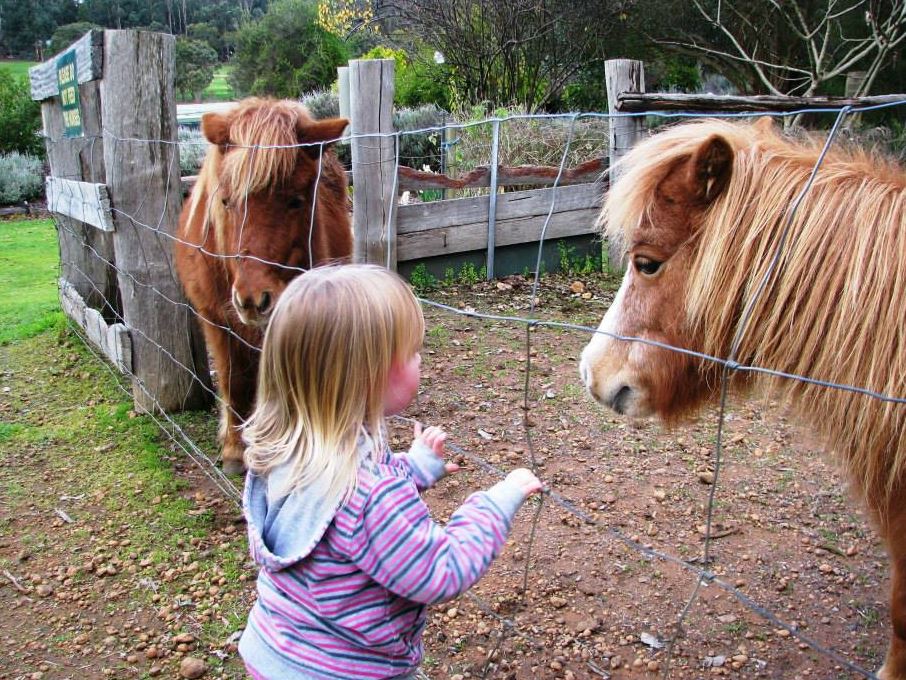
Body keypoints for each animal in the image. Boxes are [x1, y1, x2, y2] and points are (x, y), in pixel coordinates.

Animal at [175, 98, 352, 476]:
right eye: (225, 201)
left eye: (297, 200)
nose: (254, 300)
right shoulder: (215, 318)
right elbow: (233, 381)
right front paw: (233, 449)